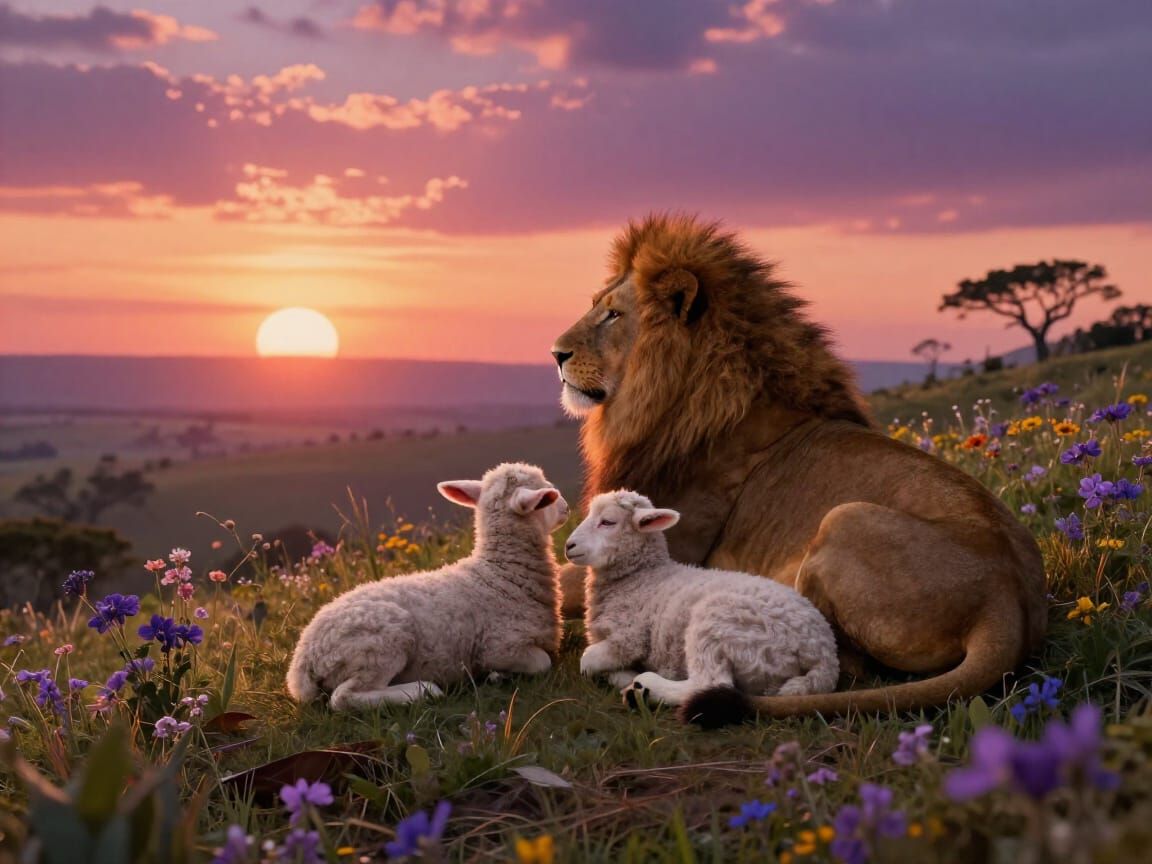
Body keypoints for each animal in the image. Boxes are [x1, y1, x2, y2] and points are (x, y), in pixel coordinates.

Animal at [286, 463, 568, 711]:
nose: (565, 507)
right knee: (344, 697)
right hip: (379, 644)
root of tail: (303, 660)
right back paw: (422, 691)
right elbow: (543, 661)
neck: (500, 574)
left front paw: (498, 676)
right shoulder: (498, 646)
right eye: (546, 499)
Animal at [568, 490, 839, 727]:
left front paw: (623, 674)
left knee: (708, 682)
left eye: (608, 522)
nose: (568, 545)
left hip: (718, 624)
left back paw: (645, 688)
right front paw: (621, 675)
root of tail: (824, 655)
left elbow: (587, 660)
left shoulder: (629, 636)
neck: (643, 577)